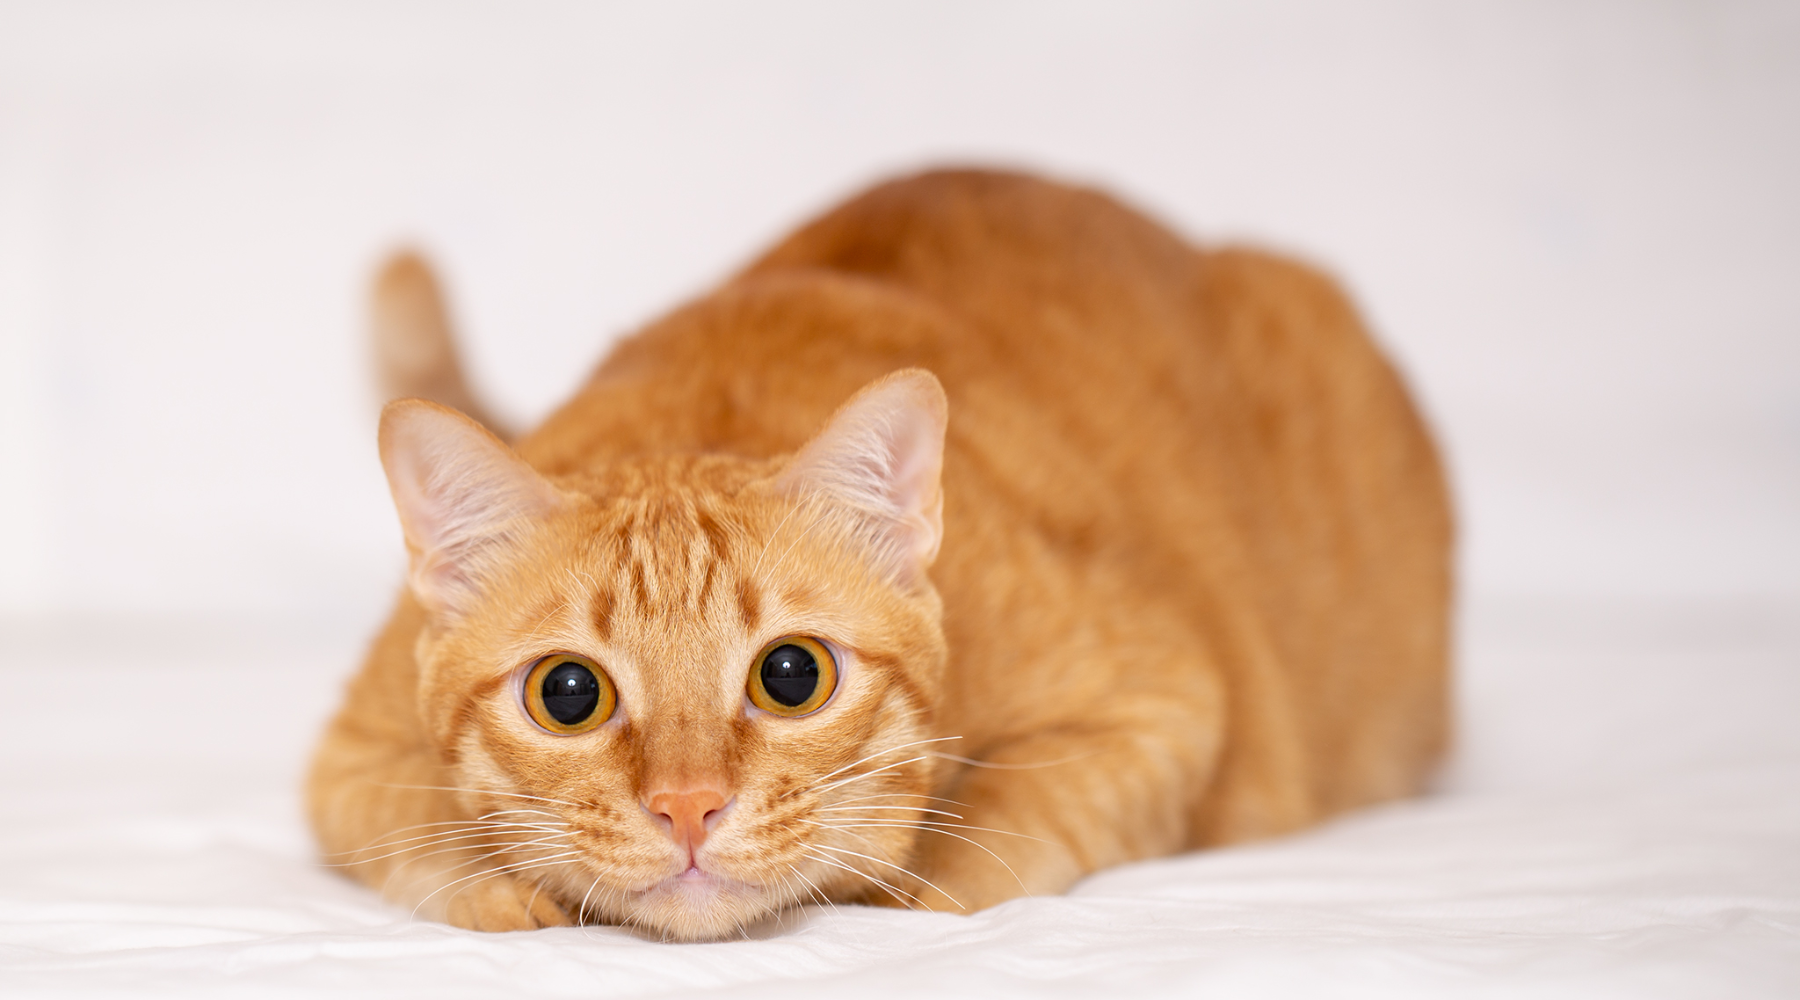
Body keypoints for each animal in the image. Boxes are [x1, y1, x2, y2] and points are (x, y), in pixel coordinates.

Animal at [309, 168, 1454, 942]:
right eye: (569, 694)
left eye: (790, 675)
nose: (687, 807)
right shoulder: (348, 756)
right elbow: (423, 825)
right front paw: (506, 885)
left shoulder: (1163, 698)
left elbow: (1004, 822)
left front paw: (913, 879)